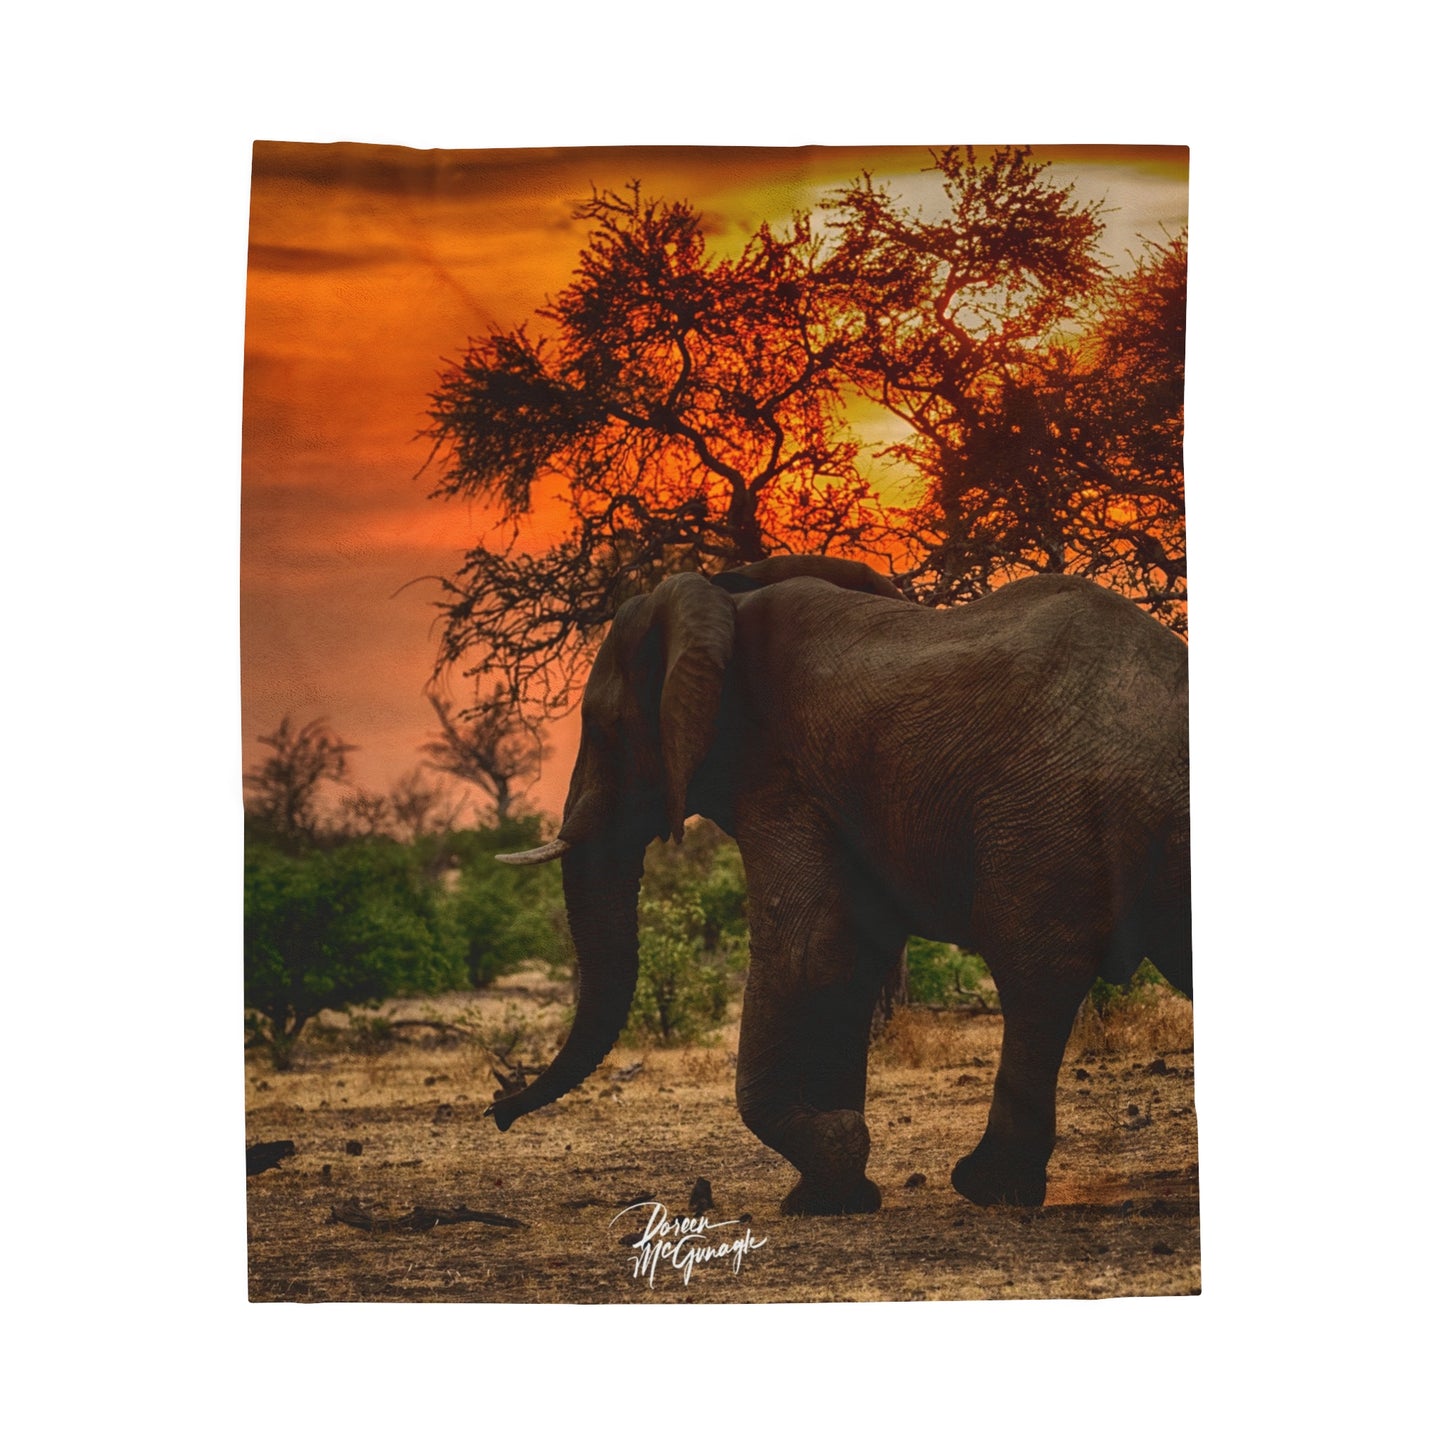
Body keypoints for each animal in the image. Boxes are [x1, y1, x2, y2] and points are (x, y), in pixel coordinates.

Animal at [492, 555, 1191, 1215]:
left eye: (604, 726)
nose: (499, 1108)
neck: (725, 601)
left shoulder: (781, 780)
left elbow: (806, 952)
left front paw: (832, 1158)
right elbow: (851, 958)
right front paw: (834, 1194)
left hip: (1048, 807)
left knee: (1034, 972)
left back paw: (986, 1187)